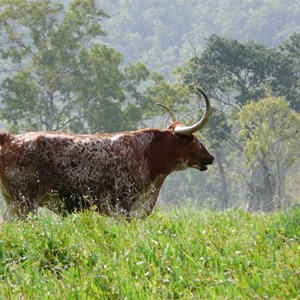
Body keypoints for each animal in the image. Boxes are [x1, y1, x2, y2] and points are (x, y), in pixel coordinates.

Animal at [1, 88, 214, 219]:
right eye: (194, 140)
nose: (210, 157)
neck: (148, 152)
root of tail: (10, 138)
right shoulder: (122, 207)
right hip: (25, 204)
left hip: (13, 204)